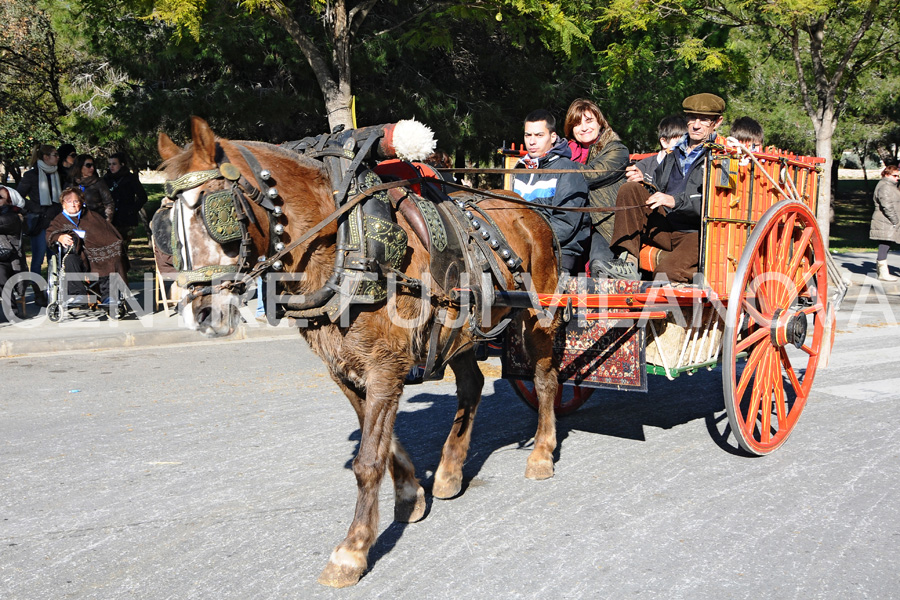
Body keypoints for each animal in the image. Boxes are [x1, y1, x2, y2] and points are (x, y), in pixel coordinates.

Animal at [156, 116, 564, 584]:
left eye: (213, 211)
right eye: (165, 227)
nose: (202, 312)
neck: (340, 244)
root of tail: (527, 208)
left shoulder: (385, 366)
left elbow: (368, 459)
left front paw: (352, 549)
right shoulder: (345, 369)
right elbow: (385, 444)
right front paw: (410, 495)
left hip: (537, 317)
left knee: (545, 379)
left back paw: (541, 453)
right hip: (462, 327)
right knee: (472, 385)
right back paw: (449, 470)